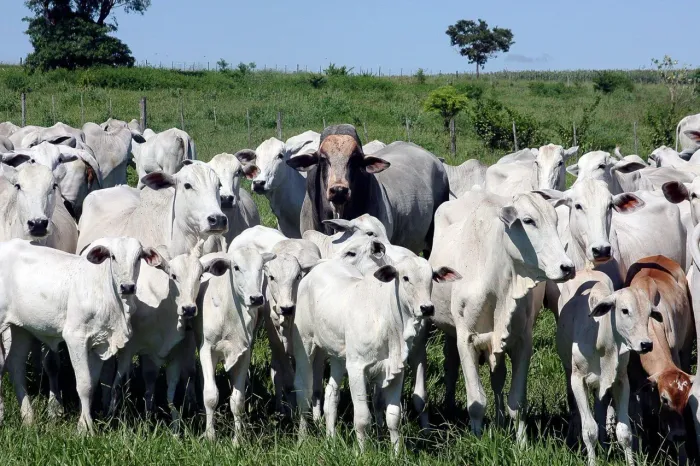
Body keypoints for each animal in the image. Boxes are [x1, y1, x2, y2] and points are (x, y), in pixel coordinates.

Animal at [0, 237, 165, 434]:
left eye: (139, 257)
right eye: (113, 256)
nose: (127, 287)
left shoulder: (99, 343)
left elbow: (92, 384)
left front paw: (84, 423)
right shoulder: (75, 338)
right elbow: (84, 384)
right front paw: (86, 428)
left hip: (22, 329)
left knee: (16, 366)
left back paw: (28, 418)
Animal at [293, 254, 460, 453]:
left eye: (432, 277)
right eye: (405, 278)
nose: (427, 308)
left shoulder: (396, 369)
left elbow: (394, 417)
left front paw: (397, 454)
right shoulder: (356, 368)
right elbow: (363, 418)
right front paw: (361, 453)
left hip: (338, 356)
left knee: (331, 394)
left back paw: (330, 441)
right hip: (305, 345)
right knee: (304, 392)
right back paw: (302, 439)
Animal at [426, 190, 574, 444]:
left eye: (555, 221)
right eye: (528, 221)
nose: (567, 267)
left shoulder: (522, 341)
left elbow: (517, 402)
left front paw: (522, 443)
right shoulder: (466, 340)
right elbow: (476, 402)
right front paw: (477, 439)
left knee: (498, 378)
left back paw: (499, 420)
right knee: (451, 366)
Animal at [556, 270, 661, 466]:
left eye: (649, 313)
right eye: (625, 310)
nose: (646, 344)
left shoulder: (621, 380)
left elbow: (624, 432)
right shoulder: (578, 380)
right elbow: (589, 430)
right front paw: (592, 462)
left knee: (600, 411)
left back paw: (605, 448)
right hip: (568, 371)